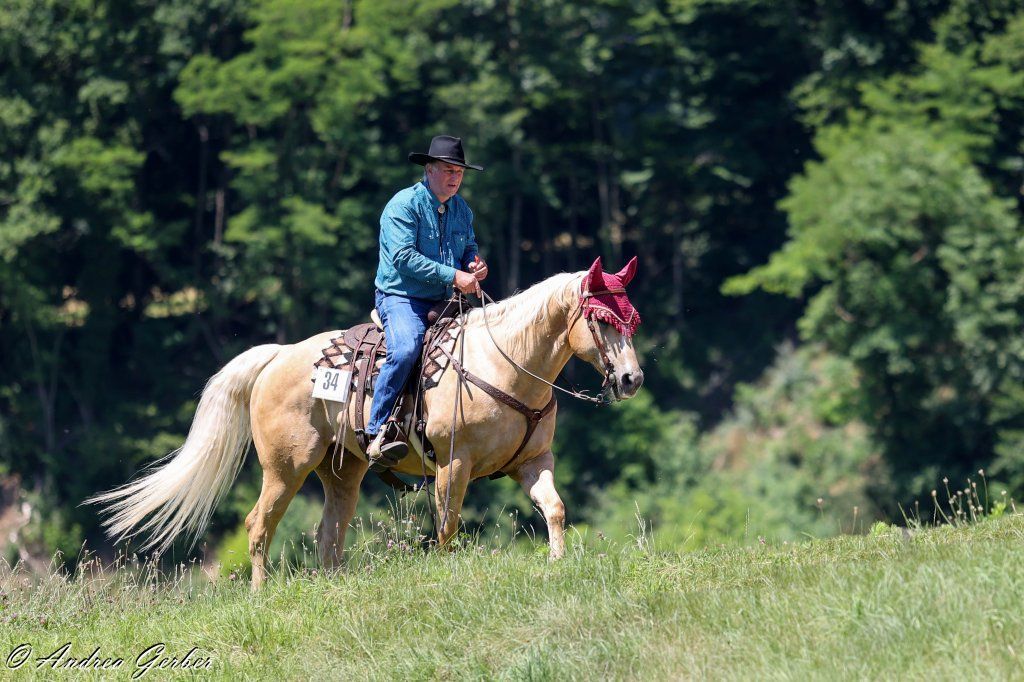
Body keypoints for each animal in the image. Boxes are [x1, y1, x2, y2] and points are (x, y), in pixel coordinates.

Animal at [88, 257, 644, 588]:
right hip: (285, 468)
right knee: (259, 523)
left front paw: (556, 564)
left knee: (328, 535)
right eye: (601, 319)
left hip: (341, 472)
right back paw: (260, 593)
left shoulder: (532, 461)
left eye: (630, 318)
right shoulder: (454, 463)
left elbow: (554, 508)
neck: (502, 361)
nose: (631, 378)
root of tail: (276, 356)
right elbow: (447, 526)